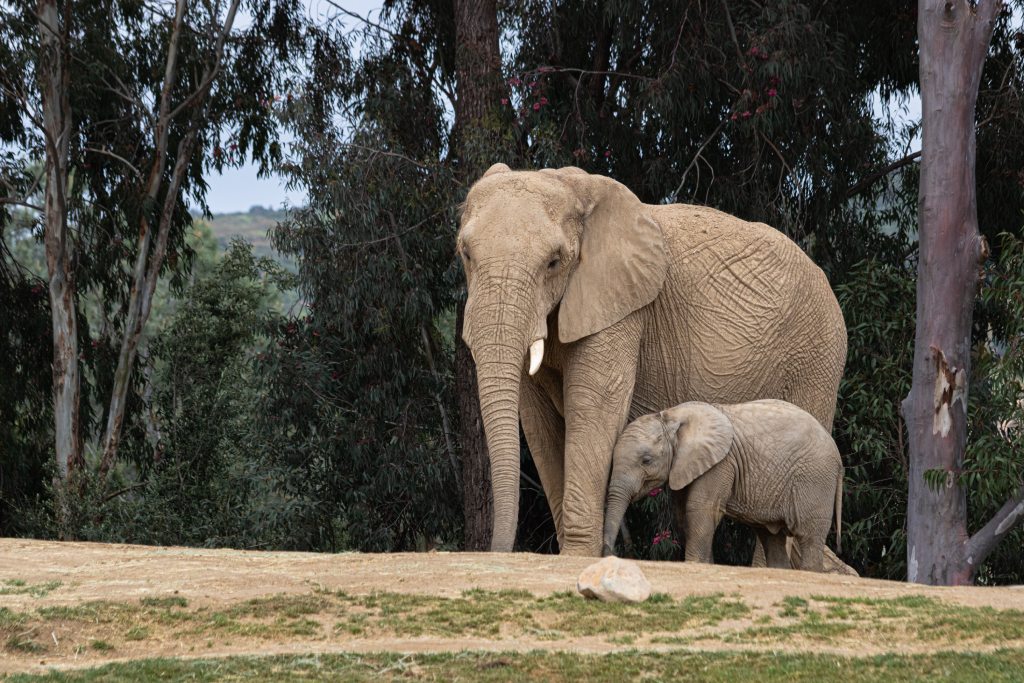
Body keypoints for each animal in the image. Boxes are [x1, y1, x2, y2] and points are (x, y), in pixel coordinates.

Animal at [602, 400, 843, 572]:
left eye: (646, 460)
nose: (607, 552)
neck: (671, 416)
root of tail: (838, 455)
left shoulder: (721, 463)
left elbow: (701, 509)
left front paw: (695, 564)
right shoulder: (687, 466)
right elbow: (683, 515)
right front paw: (706, 563)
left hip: (815, 480)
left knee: (808, 535)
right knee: (771, 537)